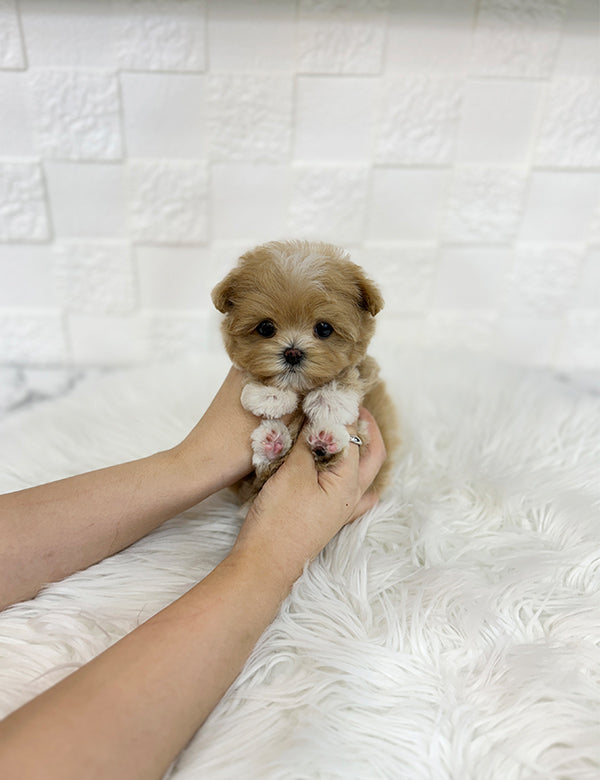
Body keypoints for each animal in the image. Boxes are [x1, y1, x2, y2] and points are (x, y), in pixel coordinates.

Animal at [212, 239, 398, 500]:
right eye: (266, 328)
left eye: (324, 328)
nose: (292, 353)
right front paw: (270, 394)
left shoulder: (367, 370)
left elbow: (352, 372)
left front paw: (330, 400)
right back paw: (273, 442)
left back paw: (324, 444)